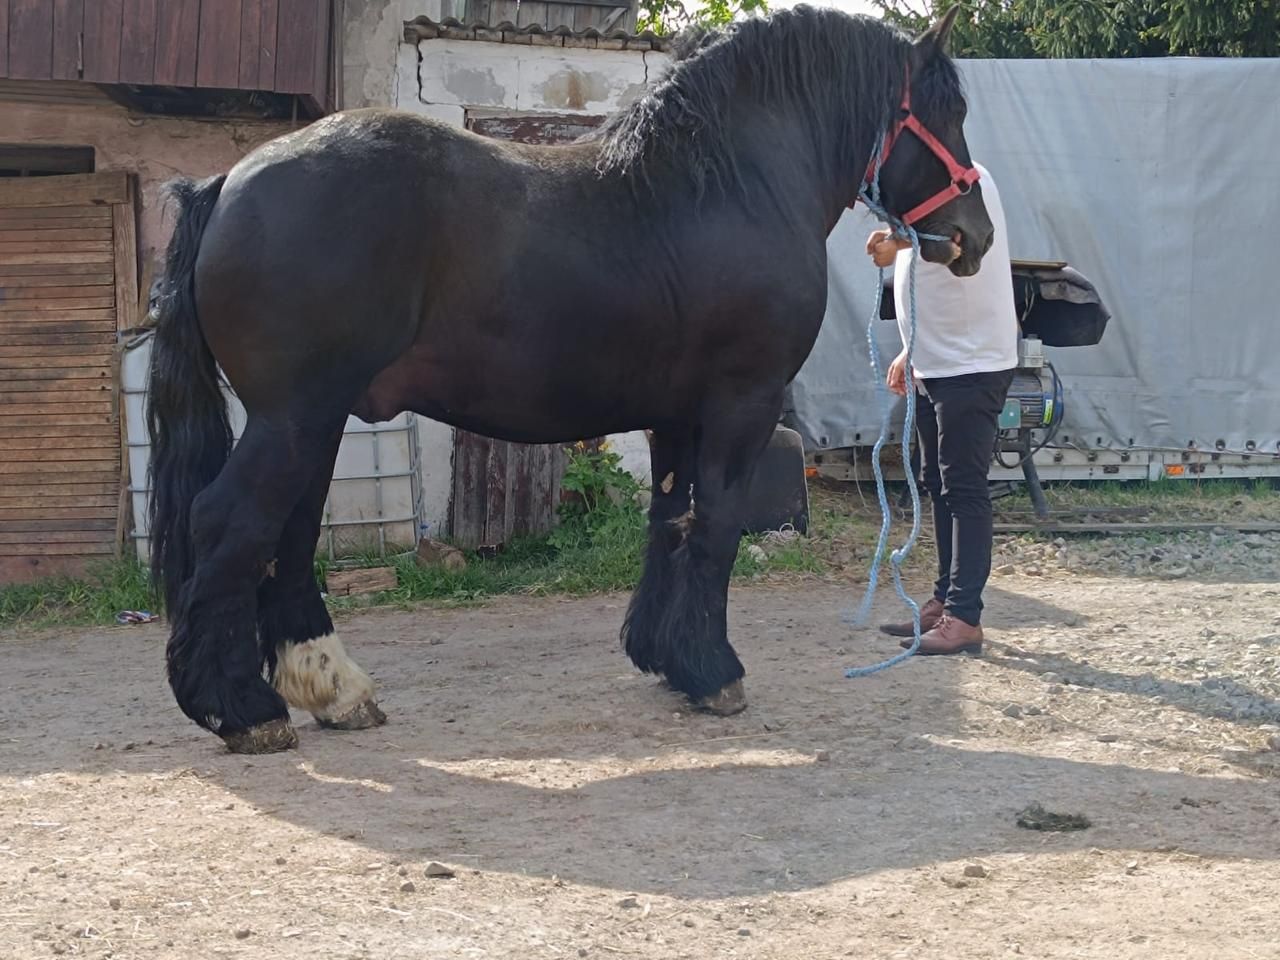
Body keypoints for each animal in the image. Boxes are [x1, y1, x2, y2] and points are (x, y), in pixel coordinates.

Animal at [147, 5, 988, 757]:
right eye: (950, 109)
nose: (973, 237)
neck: (731, 184)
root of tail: (226, 182)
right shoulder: (740, 403)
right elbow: (716, 526)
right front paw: (715, 672)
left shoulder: (675, 415)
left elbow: (669, 520)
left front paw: (665, 657)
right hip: (293, 417)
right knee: (229, 523)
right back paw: (240, 710)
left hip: (315, 420)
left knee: (287, 537)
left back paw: (334, 689)